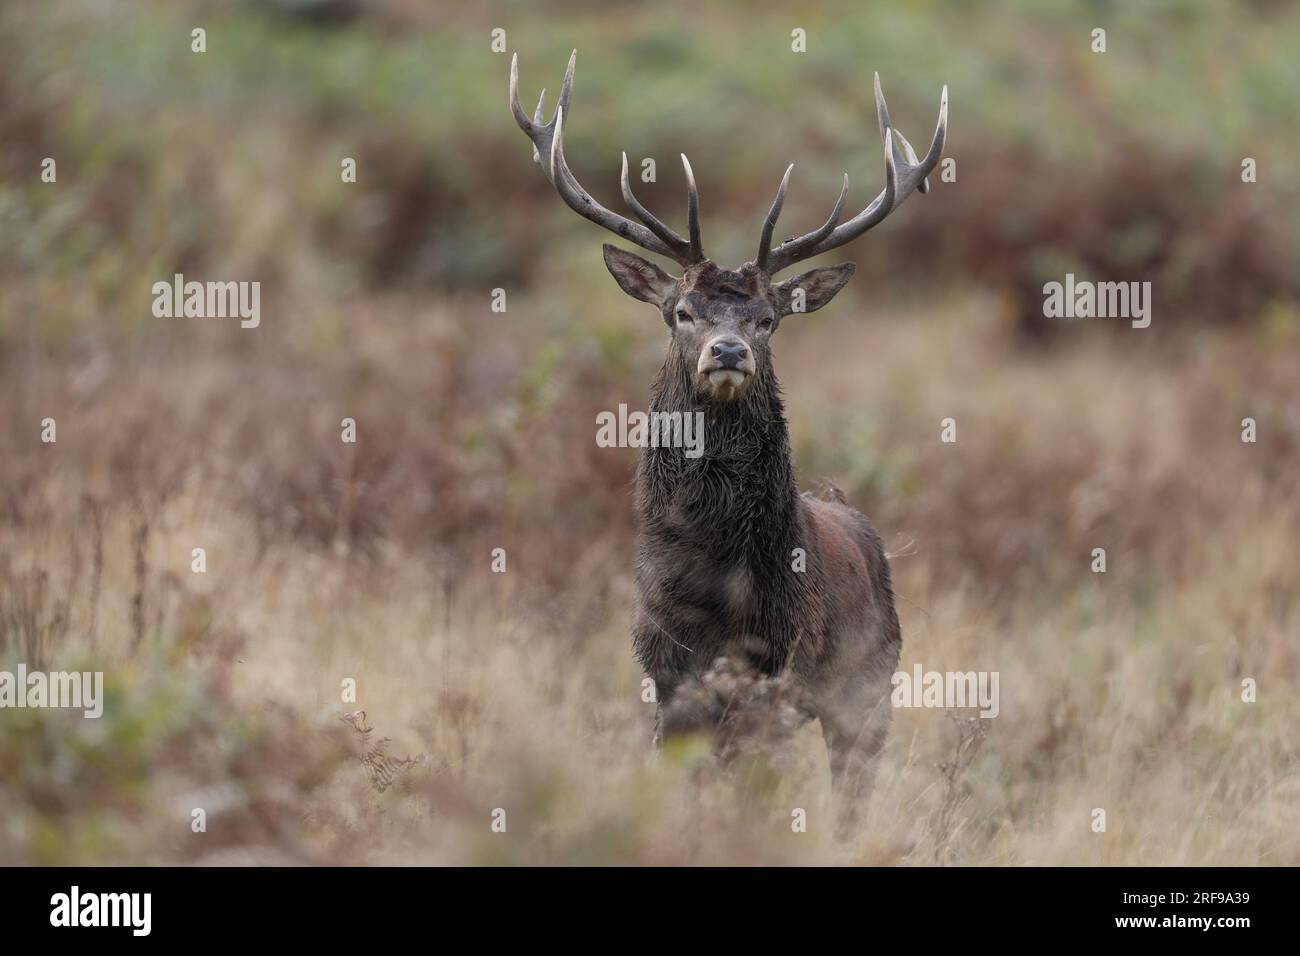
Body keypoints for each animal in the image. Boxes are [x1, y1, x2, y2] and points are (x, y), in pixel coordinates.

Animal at [506, 50, 946, 822]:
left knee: (851, 791)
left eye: (768, 319)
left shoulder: (777, 673)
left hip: (871, 684)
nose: (729, 351)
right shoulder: (664, 675)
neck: (717, 585)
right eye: (681, 311)